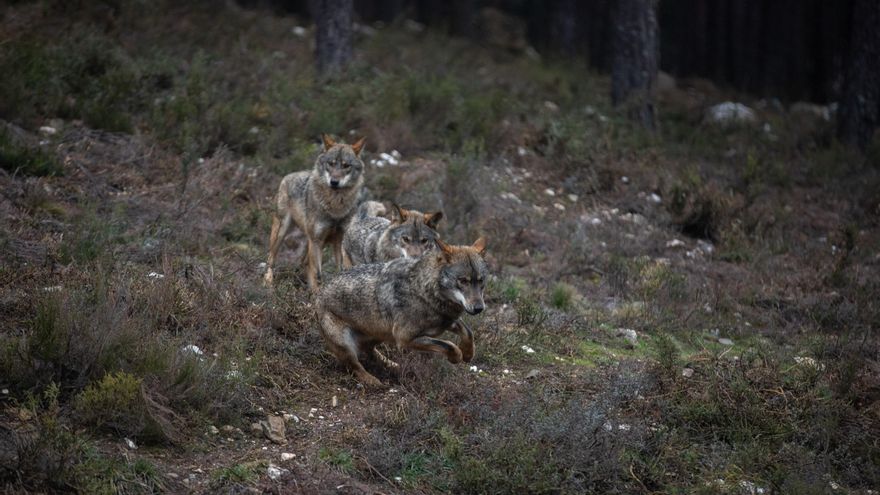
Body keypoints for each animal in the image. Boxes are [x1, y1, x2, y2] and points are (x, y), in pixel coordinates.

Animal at [264, 135, 368, 290]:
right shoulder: (316, 240)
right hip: (283, 232)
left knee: (305, 262)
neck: (335, 207)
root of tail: (288, 175)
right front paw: (318, 294)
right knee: (271, 257)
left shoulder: (338, 241)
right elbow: (318, 275)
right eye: (331, 164)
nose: (334, 182)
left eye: (346, 166)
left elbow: (339, 269)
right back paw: (268, 281)